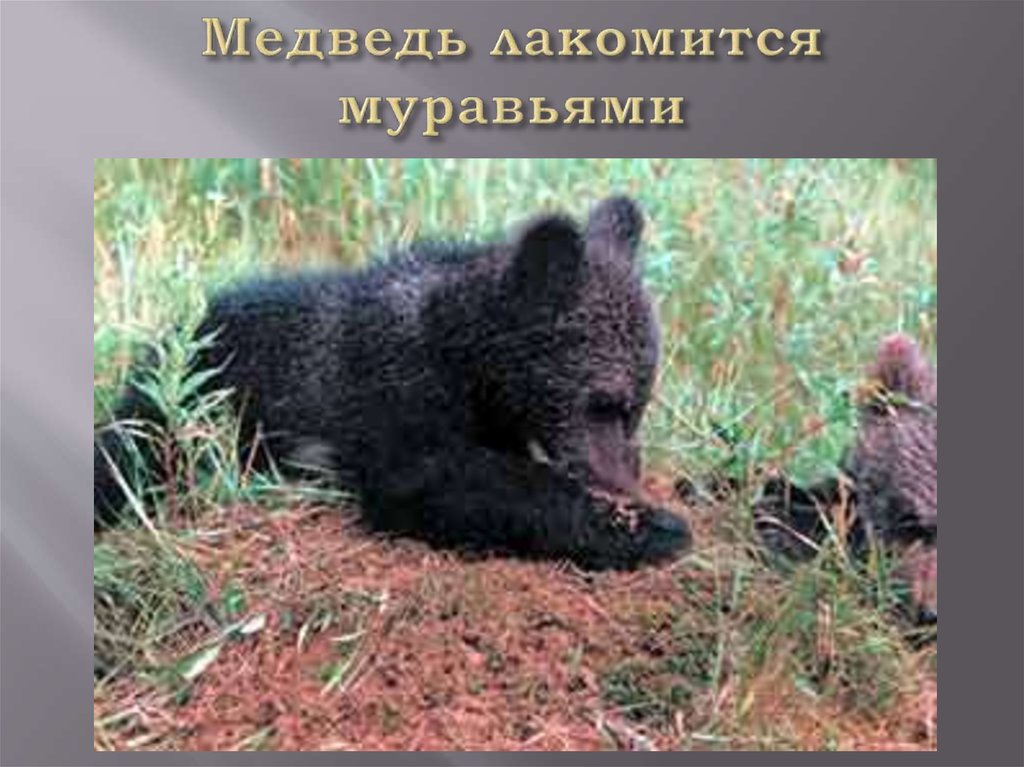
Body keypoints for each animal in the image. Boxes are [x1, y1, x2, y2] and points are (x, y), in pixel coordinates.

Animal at [94, 196, 692, 571]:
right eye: (604, 403)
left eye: (638, 404)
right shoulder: (392, 389)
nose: (625, 485)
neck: (471, 368)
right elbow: (437, 481)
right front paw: (651, 528)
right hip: (178, 411)